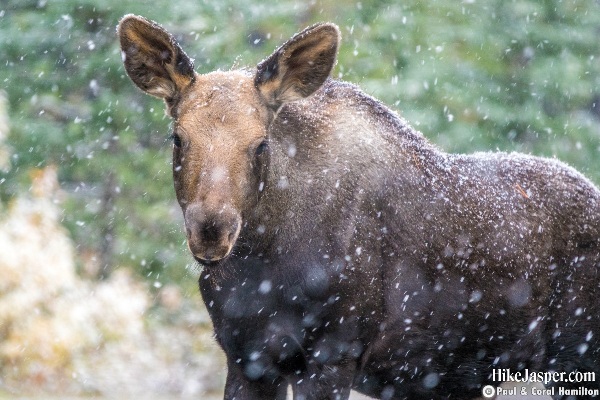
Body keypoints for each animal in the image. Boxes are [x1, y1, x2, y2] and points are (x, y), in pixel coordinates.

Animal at [118, 14, 600, 398]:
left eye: (260, 143)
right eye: (178, 138)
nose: (211, 229)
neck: (261, 263)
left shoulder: (333, 352)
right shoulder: (246, 357)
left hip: (576, 355)